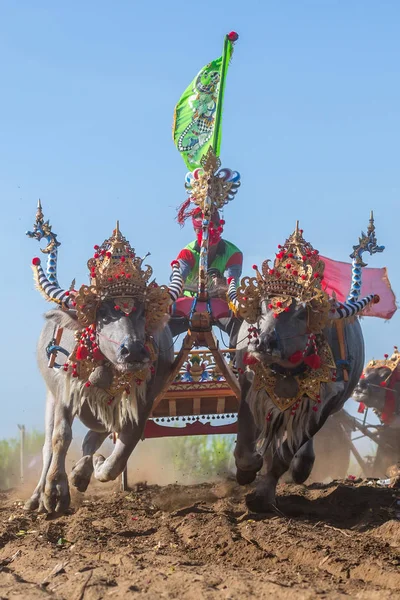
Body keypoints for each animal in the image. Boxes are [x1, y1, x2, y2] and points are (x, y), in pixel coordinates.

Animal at [24, 226, 182, 516]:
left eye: (141, 312)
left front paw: (91, 468)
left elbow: (120, 454)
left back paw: (81, 472)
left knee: (91, 440)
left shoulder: (142, 403)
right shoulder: (65, 393)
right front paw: (54, 493)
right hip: (51, 396)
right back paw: (36, 497)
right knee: (48, 447)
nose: (133, 351)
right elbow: (60, 438)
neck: (107, 370)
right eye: (104, 314)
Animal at [228, 225, 378, 510]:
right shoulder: (250, 386)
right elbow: (245, 443)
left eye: (301, 313)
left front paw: (263, 495)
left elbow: (285, 455)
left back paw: (301, 467)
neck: (287, 370)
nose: (263, 343)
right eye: (263, 306)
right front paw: (246, 471)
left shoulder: (325, 403)